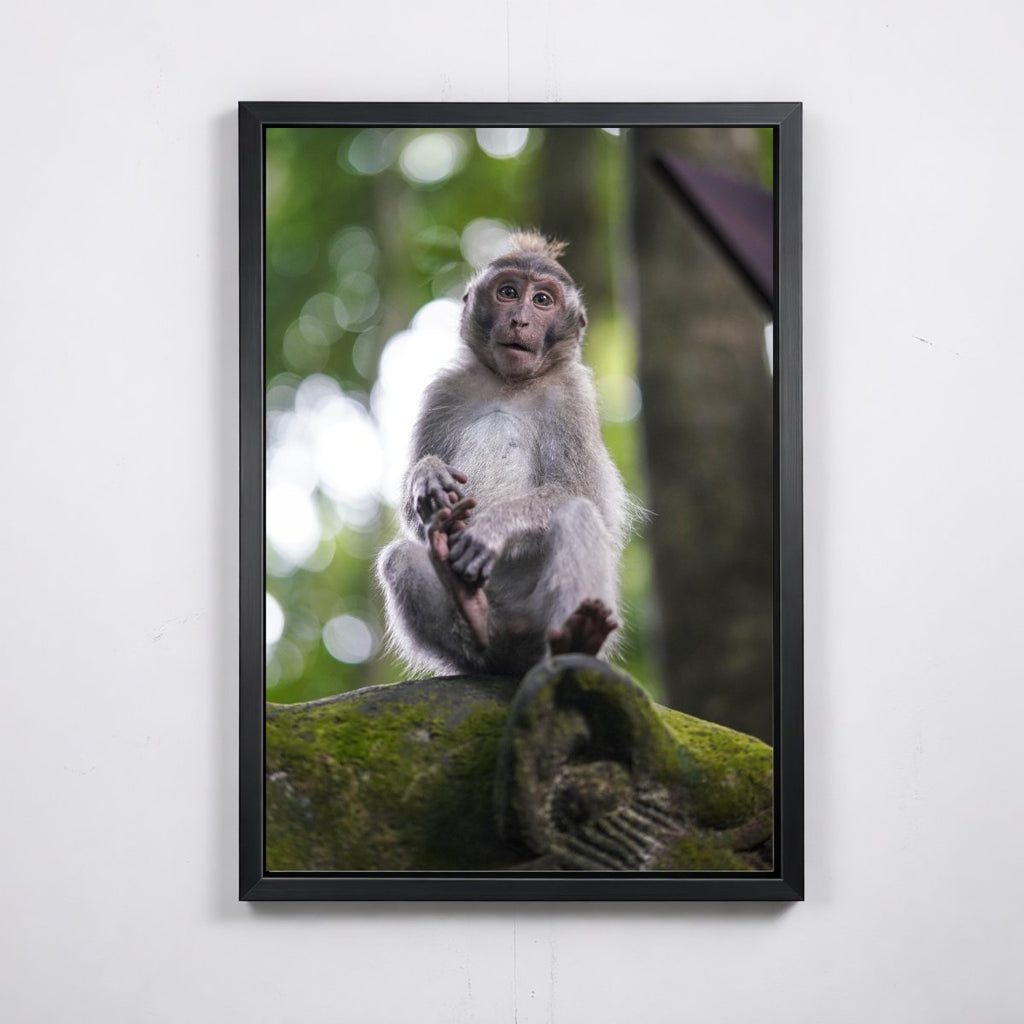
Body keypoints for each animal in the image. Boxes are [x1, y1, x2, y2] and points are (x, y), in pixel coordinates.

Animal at [376, 230, 634, 677]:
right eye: (509, 292)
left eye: (542, 300)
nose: (520, 321)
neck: (510, 384)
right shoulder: (443, 392)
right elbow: (413, 517)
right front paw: (427, 475)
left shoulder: (573, 398)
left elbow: (584, 494)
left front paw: (493, 527)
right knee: (399, 558)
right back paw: (476, 622)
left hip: (539, 622)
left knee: (577, 513)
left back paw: (578, 640)